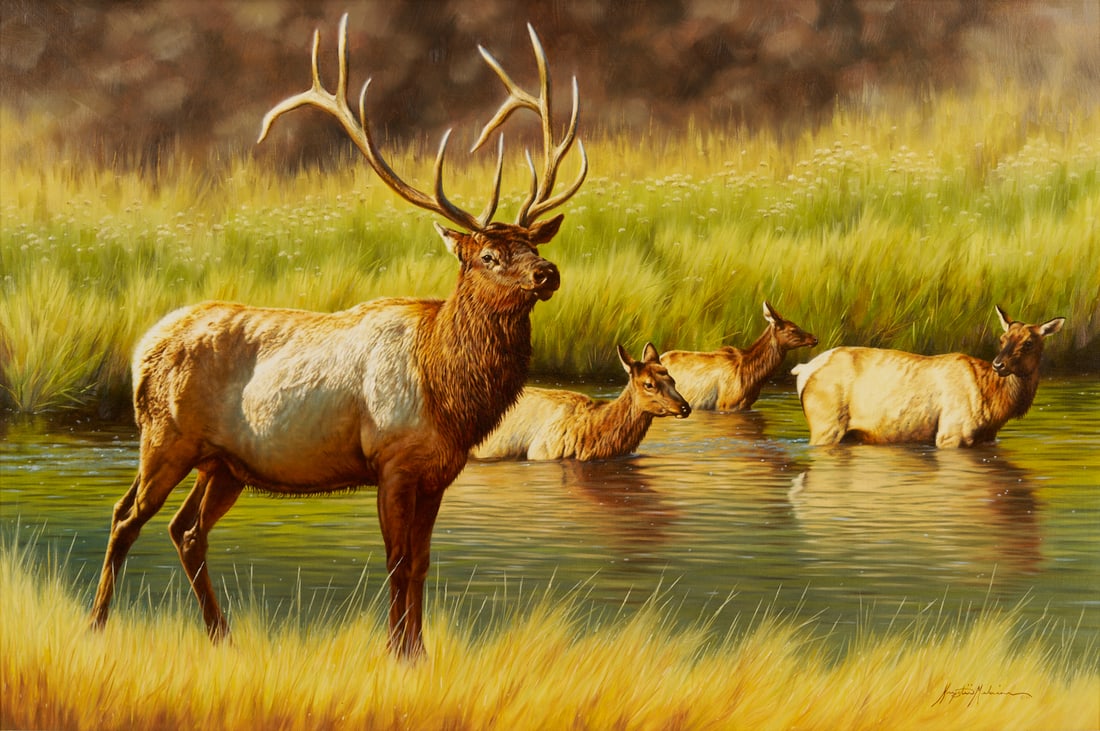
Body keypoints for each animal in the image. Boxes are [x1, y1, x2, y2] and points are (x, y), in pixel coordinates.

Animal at [88, 15, 587, 658]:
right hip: (165, 437)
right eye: (490, 255)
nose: (547, 273)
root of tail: (140, 348)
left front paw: (419, 653)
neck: (447, 391)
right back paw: (97, 625)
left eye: (533, 244)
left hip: (223, 464)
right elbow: (397, 561)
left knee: (186, 529)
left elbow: (421, 563)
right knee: (127, 516)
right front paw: (396, 653)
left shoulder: (440, 469)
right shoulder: (392, 459)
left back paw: (222, 635)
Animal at [791, 305, 1065, 447]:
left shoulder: (987, 439)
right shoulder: (951, 433)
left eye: (1029, 342)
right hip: (825, 423)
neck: (996, 406)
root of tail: (802, 370)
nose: (999, 364)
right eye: (1002, 339)